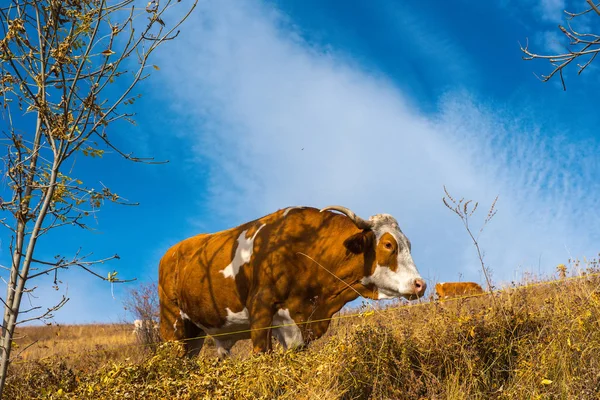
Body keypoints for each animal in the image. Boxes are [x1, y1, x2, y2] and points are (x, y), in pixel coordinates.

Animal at [157, 205, 424, 358]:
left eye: (409, 244)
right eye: (388, 244)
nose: (420, 284)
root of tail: (172, 252)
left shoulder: (296, 325)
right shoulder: (261, 312)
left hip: (195, 336)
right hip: (173, 326)